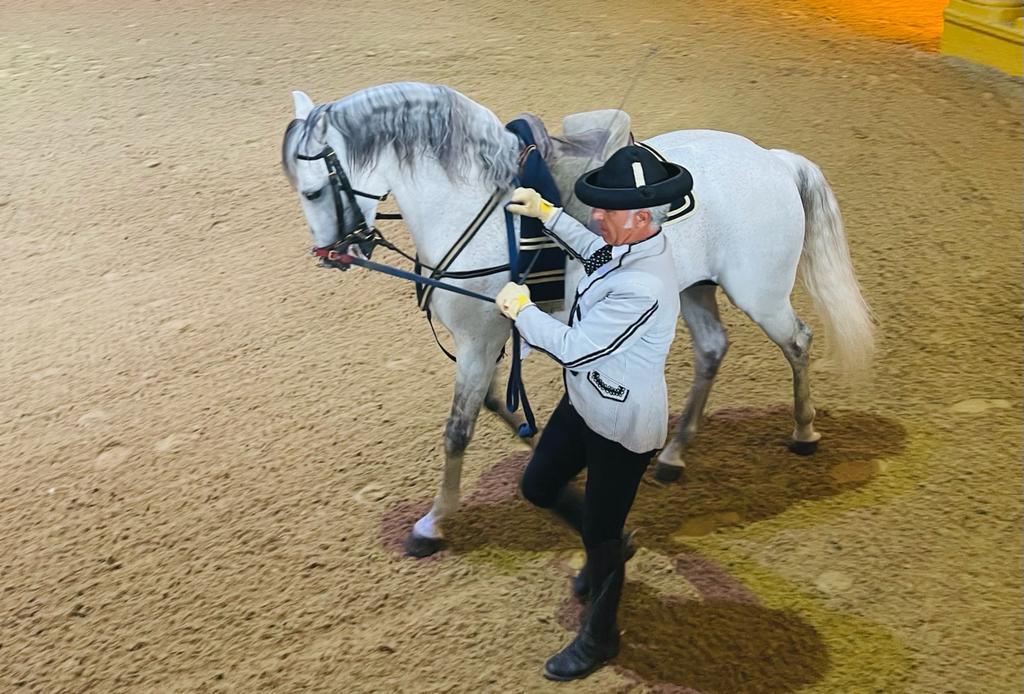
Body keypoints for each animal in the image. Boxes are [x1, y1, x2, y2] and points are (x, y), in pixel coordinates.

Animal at [279, 82, 873, 557]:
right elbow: (500, 405)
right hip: (695, 290)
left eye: (313, 189)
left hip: (760, 294)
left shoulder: (477, 341)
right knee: (712, 350)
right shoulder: (490, 342)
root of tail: (772, 160)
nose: (330, 253)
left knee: (798, 343)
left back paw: (803, 431)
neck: (475, 207)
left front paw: (432, 524)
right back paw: (673, 454)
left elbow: (457, 431)